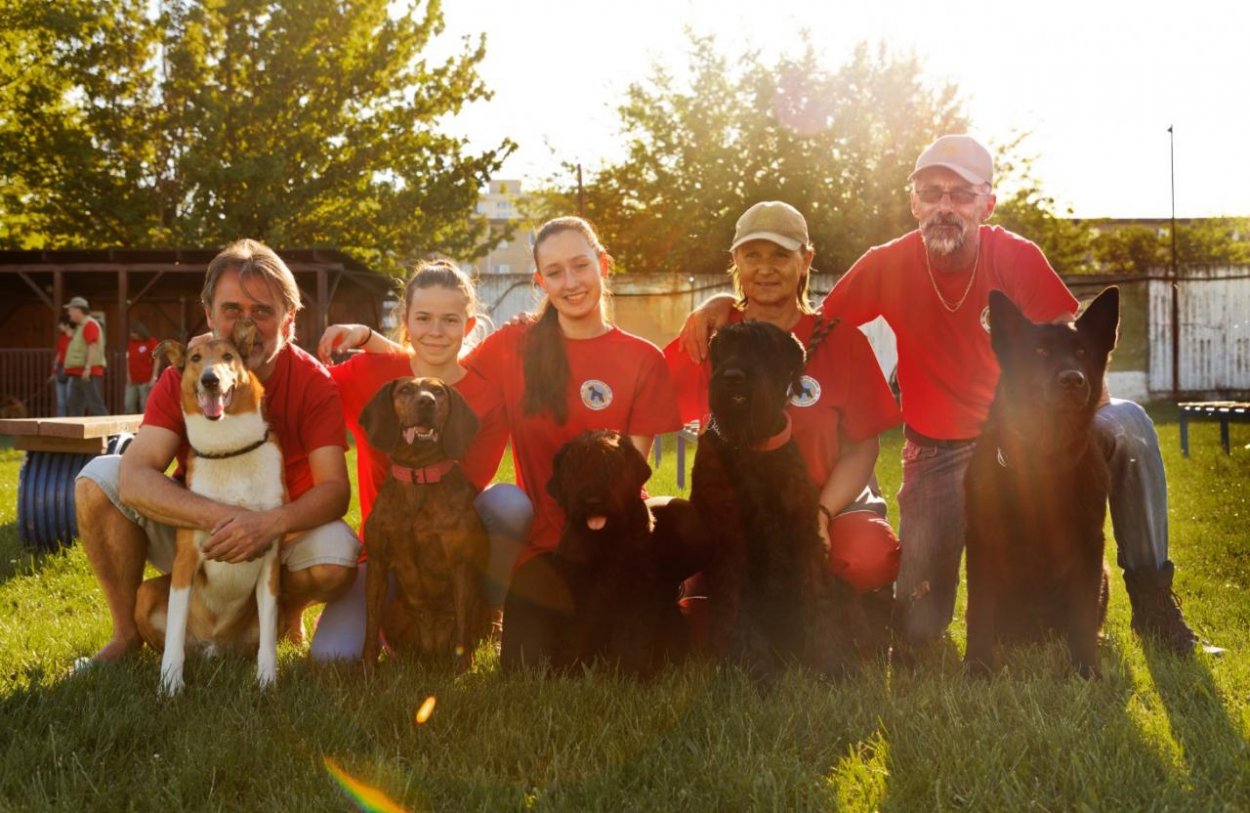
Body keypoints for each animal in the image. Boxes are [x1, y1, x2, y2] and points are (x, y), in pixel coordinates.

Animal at [138, 320, 286, 695]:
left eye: (228, 356)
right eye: (195, 358)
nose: (210, 379)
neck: (229, 449)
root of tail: (214, 647)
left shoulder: (270, 561)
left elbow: (268, 640)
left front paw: (267, 682)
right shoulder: (186, 560)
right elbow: (174, 632)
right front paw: (170, 684)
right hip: (145, 594)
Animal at [500, 427, 695, 675]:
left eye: (611, 463)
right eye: (574, 466)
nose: (593, 500)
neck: (604, 541)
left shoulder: (635, 592)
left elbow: (632, 635)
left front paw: (628, 671)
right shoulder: (580, 592)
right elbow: (577, 632)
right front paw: (570, 668)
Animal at [685, 320, 850, 680]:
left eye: (764, 346)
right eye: (721, 346)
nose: (733, 377)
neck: (753, 447)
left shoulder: (805, 533)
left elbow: (817, 595)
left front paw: (829, 660)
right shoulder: (732, 539)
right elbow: (738, 601)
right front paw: (753, 666)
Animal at [960, 286, 1120, 675]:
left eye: (1082, 352)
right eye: (1039, 352)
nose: (1073, 380)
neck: (1043, 464)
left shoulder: (1089, 544)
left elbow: (1082, 613)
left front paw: (1086, 667)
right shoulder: (982, 541)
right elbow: (979, 611)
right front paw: (978, 665)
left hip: (1104, 574)